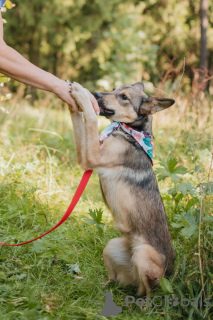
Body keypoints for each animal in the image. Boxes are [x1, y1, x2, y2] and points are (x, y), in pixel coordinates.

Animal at [69, 82, 176, 296]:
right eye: (114, 89)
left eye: (124, 97)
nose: (96, 94)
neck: (128, 131)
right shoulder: (85, 158)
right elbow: (80, 122)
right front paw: (73, 104)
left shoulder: (93, 157)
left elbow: (91, 119)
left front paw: (81, 95)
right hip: (111, 247)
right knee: (116, 280)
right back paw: (97, 286)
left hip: (143, 254)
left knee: (148, 292)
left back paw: (139, 301)